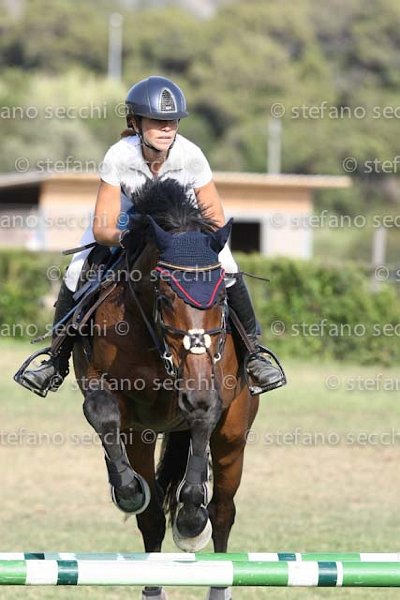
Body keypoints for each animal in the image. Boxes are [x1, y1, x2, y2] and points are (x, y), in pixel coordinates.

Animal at [73, 179, 259, 600]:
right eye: (164, 294)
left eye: (221, 296)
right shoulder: (107, 392)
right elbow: (103, 415)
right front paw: (127, 491)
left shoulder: (210, 391)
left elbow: (202, 417)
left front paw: (191, 520)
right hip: (142, 436)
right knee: (153, 516)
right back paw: (152, 583)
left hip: (233, 436)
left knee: (223, 509)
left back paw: (215, 576)